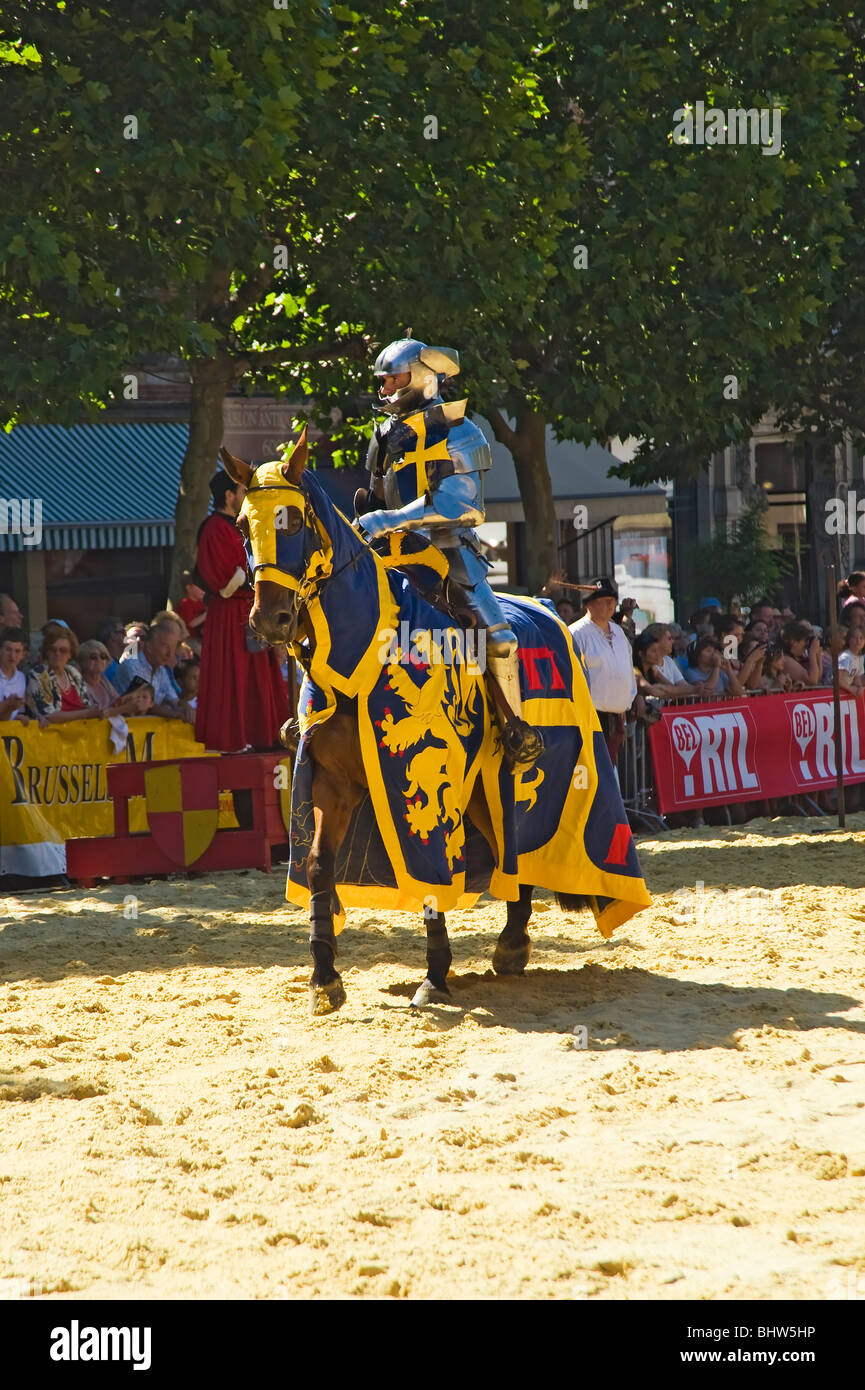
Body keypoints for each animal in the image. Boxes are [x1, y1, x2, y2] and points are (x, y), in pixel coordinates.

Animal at [222, 428, 650, 1017]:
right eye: (244, 525)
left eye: (293, 520)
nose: (271, 619)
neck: (362, 652)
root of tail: (548, 607)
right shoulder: (331, 783)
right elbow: (317, 867)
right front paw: (324, 979)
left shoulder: (423, 777)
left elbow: (432, 866)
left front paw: (434, 976)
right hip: (482, 790)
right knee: (505, 851)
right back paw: (512, 942)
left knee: (512, 845)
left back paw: (512, 942)